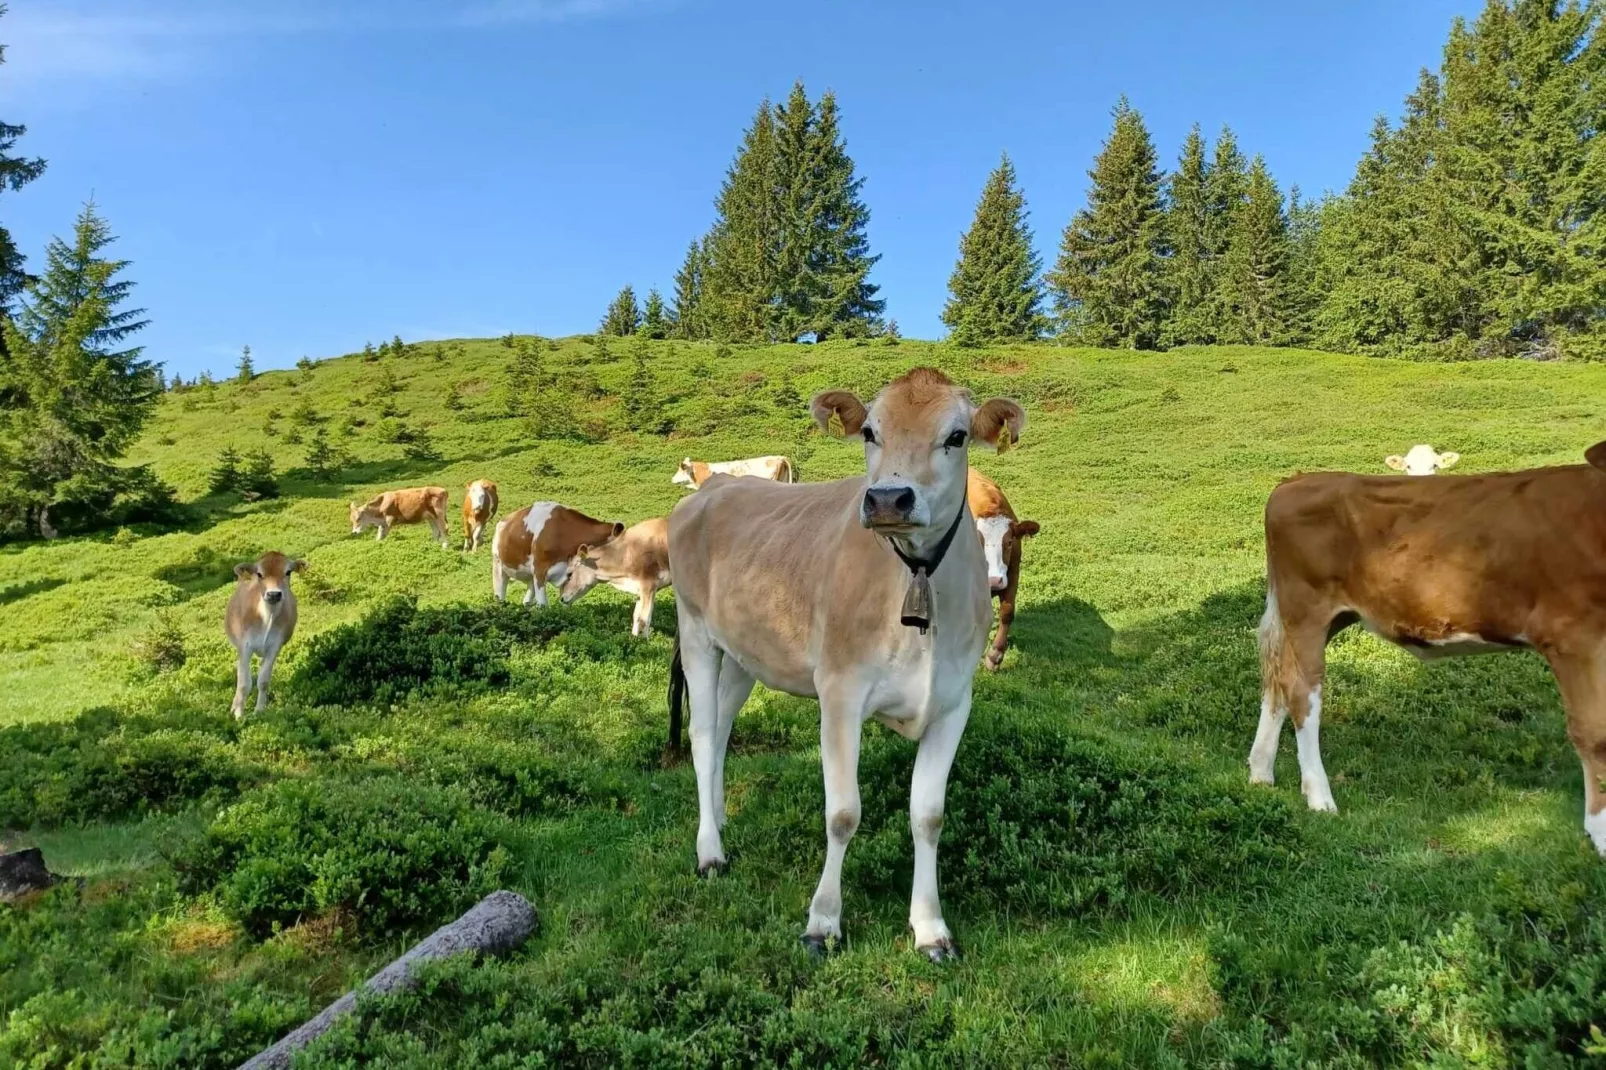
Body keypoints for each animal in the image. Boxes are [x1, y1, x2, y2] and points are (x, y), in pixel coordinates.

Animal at [224, 549, 301, 716]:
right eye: (259, 574)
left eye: (288, 572)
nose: (274, 594)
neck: (265, 617)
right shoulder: (244, 646)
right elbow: (244, 683)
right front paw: (239, 715)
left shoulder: (275, 647)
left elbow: (263, 680)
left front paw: (259, 711)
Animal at [491, 498, 623, 604]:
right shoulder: (539, 570)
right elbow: (543, 604)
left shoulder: (565, 576)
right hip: (498, 566)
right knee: (500, 595)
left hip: (529, 577)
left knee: (526, 601)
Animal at [668, 366, 1027, 957]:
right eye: (869, 432)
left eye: (956, 436)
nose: (888, 499)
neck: (916, 580)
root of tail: (715, 485)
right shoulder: (839, 692)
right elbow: (842, 814)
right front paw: (822, 921)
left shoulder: (955, 702)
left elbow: (928, 816)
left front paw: (930, 927)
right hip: (696, 630)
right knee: (700, 733)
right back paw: (709, 850)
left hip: (745, 651)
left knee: (719, 731)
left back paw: (718, 818)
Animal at [963, 465, 1040, 668]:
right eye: (977, 541)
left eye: (1010, 542)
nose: (994, 581)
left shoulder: (1013, 573)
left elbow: (1007, 611)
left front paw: (995, 654)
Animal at [1246, 436, 1606, 854]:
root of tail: (1298, 480)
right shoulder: (1571, 636)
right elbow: (1592, 732)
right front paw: (1600, 833)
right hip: (1307, 608)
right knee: (1302, 692)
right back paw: (1319, 796)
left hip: (1322, 616)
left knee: (1278, 680)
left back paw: (1261, 771)